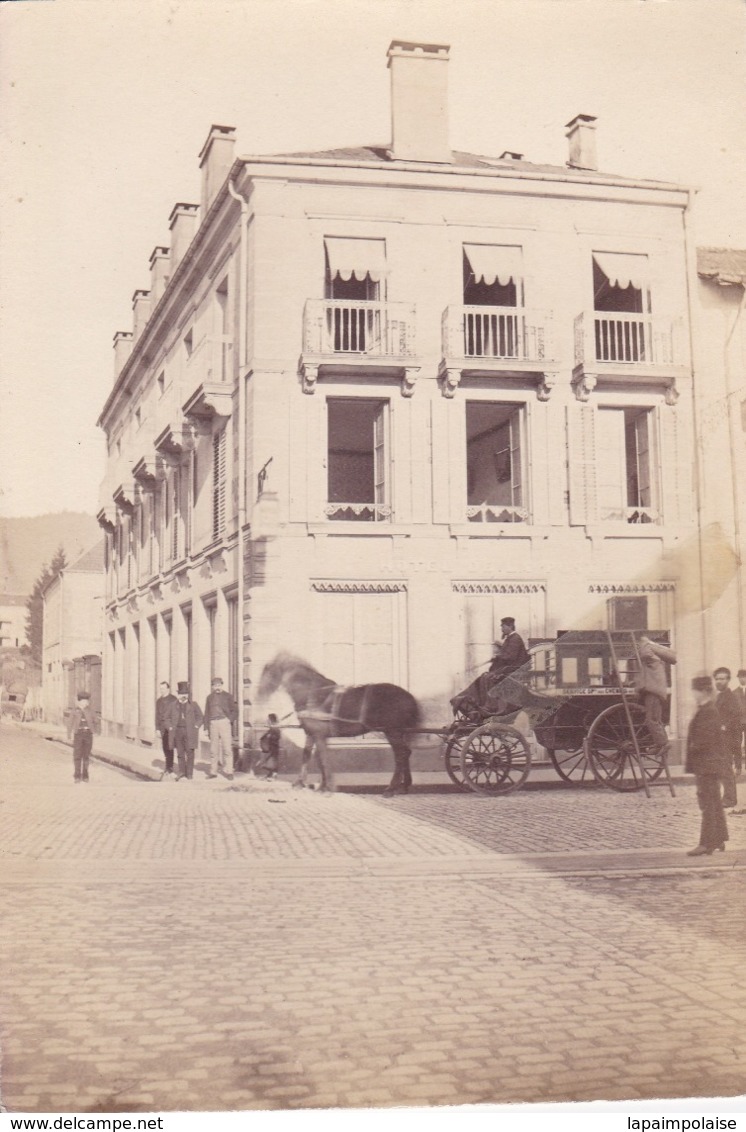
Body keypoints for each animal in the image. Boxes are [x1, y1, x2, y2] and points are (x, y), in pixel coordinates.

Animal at [256, 652, 421, 801]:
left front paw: (328, 787)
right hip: (397, 732)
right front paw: (305, 784)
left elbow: (322, 759)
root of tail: (408, 696)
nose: (259, 696)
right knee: (406, 753)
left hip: (392, 731)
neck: (311, 693)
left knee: (400, 756)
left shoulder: (319, 734)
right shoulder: (312, 733)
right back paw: (403, 786)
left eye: (267, 671)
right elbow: (309, 756)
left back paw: (391, 788)